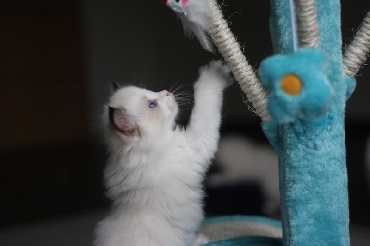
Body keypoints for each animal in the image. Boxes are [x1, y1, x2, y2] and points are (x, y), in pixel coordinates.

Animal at [94, 61, 230, 246]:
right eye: (152, 104)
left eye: (149, 91)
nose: (166, 92)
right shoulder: (196, 142)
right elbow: (205, 102)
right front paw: (215, 72)